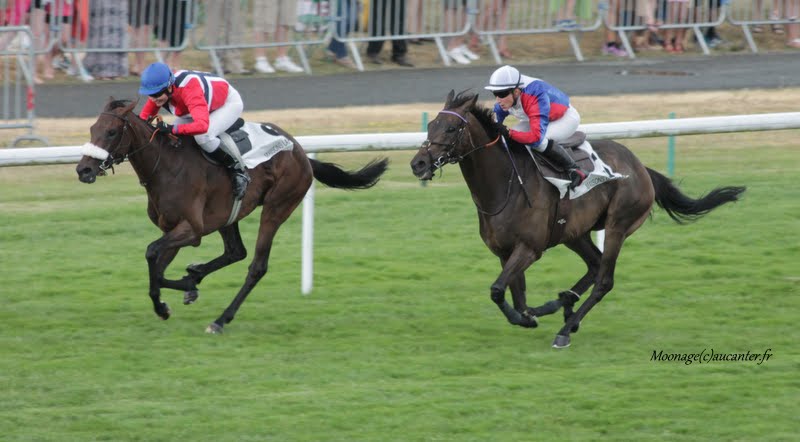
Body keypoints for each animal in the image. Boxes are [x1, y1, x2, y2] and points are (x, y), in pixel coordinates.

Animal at [76, 98, 390, 334]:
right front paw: (184, 288)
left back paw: (220, 320)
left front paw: (169, 301)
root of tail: (301, 152)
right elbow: (159, 269)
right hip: (227, 215)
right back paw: (197, 278)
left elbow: (152, 253)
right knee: (236, 251)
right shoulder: (173, 228)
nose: (84, 170)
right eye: (92, 128)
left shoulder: (192, 229)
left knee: (256, 266)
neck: (165, 167)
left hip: (277, 206)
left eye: (112, 132)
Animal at [410, 90, 748, 348]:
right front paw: (532, 313)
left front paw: (525, 318)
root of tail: (642, 169)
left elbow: (497, 290)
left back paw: (565, 329)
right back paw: (564, 306)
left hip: (617, 225)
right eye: (432, 125)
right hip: (574, 233)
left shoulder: (530, 248)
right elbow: (516, 294)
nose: (418, 163)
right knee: (595, 265)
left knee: (604, 280)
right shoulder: (505, 251)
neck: (504, 184)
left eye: (451, 129)